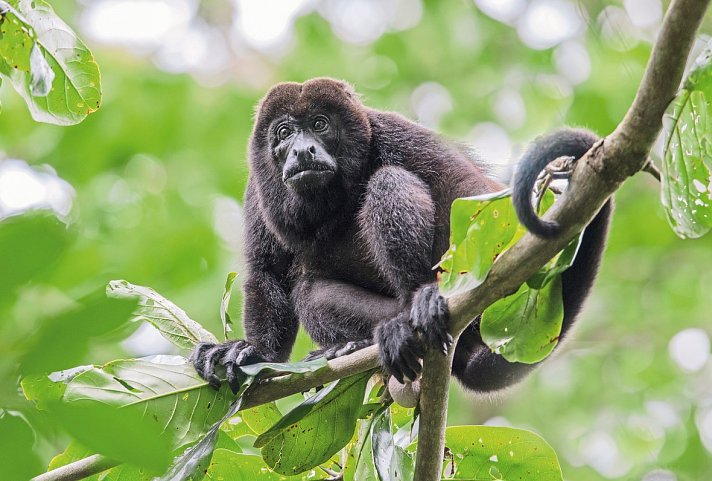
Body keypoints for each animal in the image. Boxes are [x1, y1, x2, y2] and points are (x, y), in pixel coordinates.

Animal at [191, 78, 612, 394]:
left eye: (320, 124)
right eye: (284, 132)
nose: (302, 150)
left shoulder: (394, 132)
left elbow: (464, 189)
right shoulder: (257, 188)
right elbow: (268, 273)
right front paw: (252, 353)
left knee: (389, 182)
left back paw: (418, 303)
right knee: (309, 293)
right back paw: (361, 342)